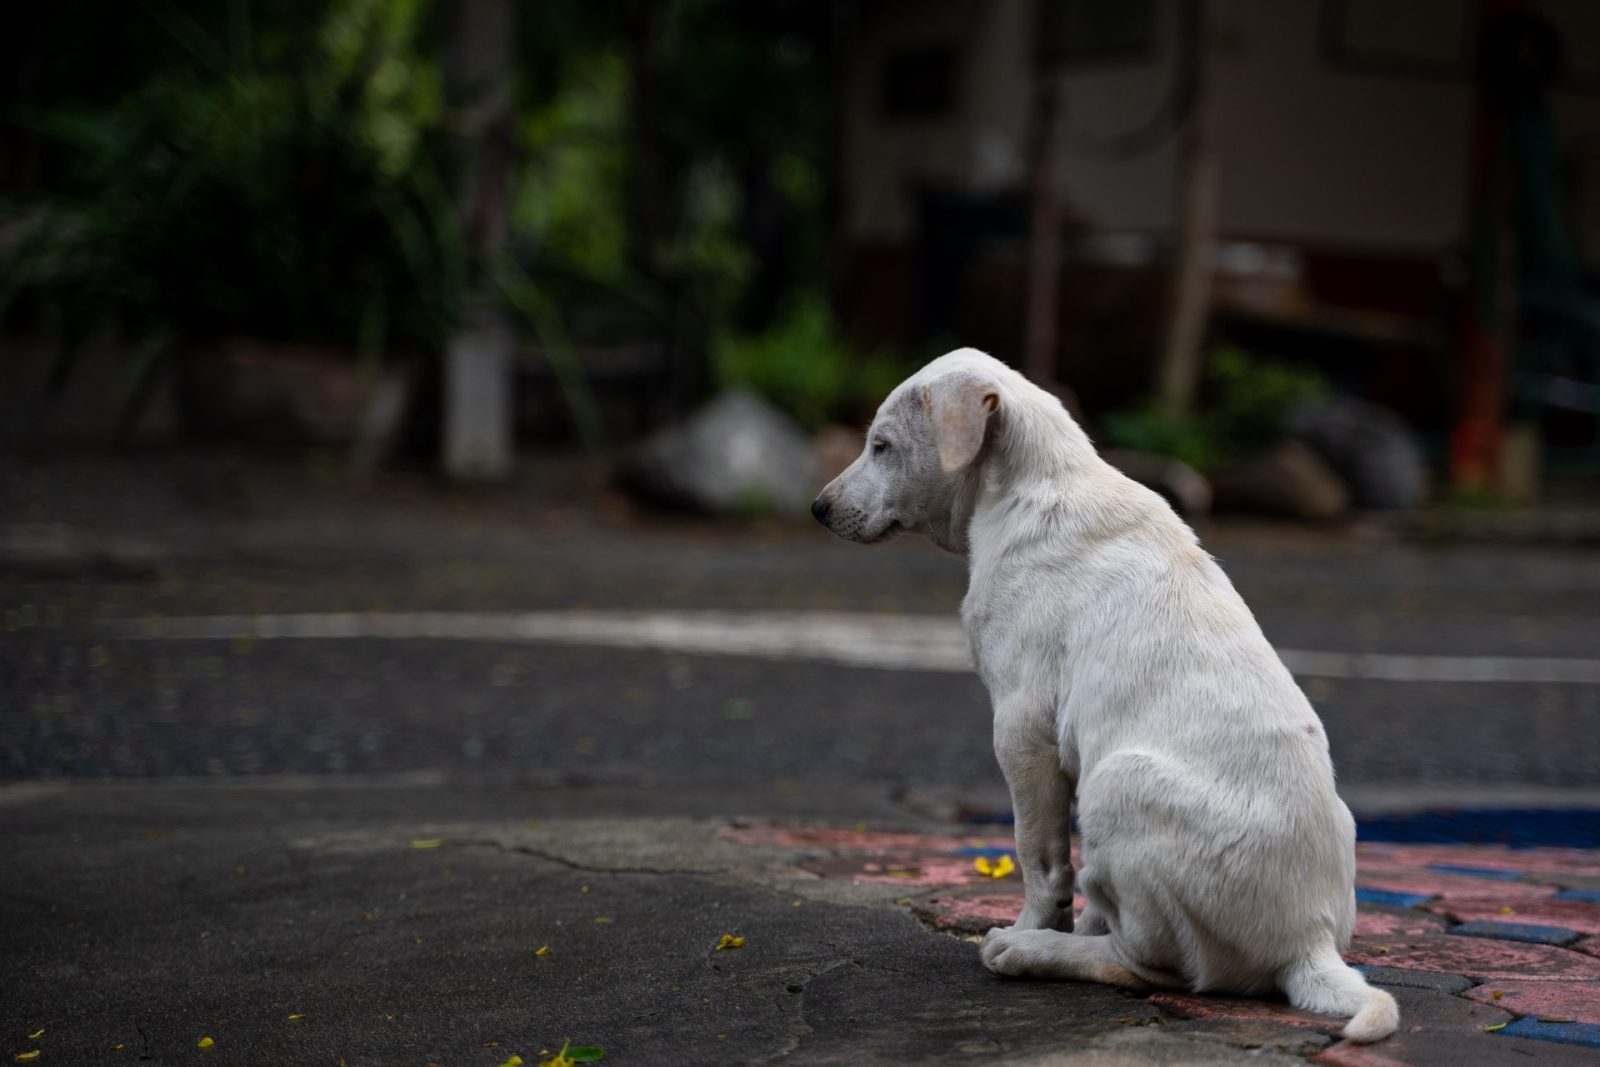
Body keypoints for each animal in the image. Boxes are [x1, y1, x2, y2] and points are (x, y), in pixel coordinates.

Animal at [812, 348, 1401, 1043]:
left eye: (881, 446)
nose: (817, 508)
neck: (1032, 488)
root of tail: (1308, 942)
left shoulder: (1022, 727)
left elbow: (1038, 855)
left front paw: (1034, 926)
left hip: (1116, 782)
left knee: (1151, 967)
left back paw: (1034, 950)